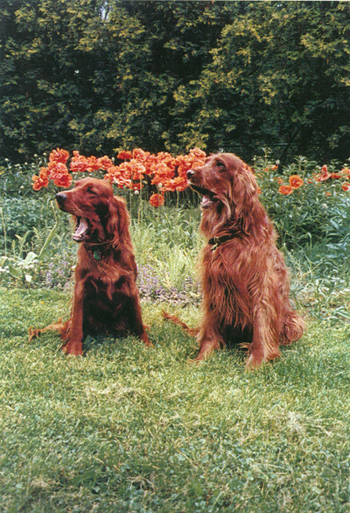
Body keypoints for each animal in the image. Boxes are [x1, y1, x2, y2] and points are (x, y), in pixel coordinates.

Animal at [29, 178, 150, 354]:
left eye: (91, 191)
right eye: (75, 185)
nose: (59, 196)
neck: (102, 251)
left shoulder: (131, 286)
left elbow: (138, 321)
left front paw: (146, 344)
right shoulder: (80, 287)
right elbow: (77, 324)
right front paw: (73, 351)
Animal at [164, 152, 304, 368]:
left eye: (220, 165)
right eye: (206, 161)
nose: (189, 173)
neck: (232, 234)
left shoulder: (261, 287)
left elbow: (261, 327)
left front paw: (256, 362)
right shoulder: (213, 287)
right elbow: (209, 331)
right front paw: (202, 357)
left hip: (294, 321)